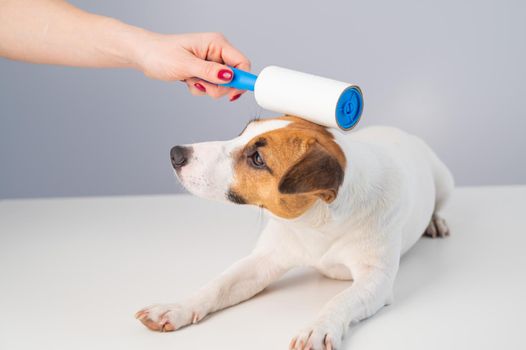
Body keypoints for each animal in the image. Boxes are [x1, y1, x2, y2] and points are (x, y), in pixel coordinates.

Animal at [138, 116, 456, 348]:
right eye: (242, 132)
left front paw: (318, 327)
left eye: (257, 158)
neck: (317, 223)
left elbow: (340, 300)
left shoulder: (374, 279)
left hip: (444, 180)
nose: (176, 153)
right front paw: (176, 307)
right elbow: (219, 285)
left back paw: (436, 221)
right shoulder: (263, 260)